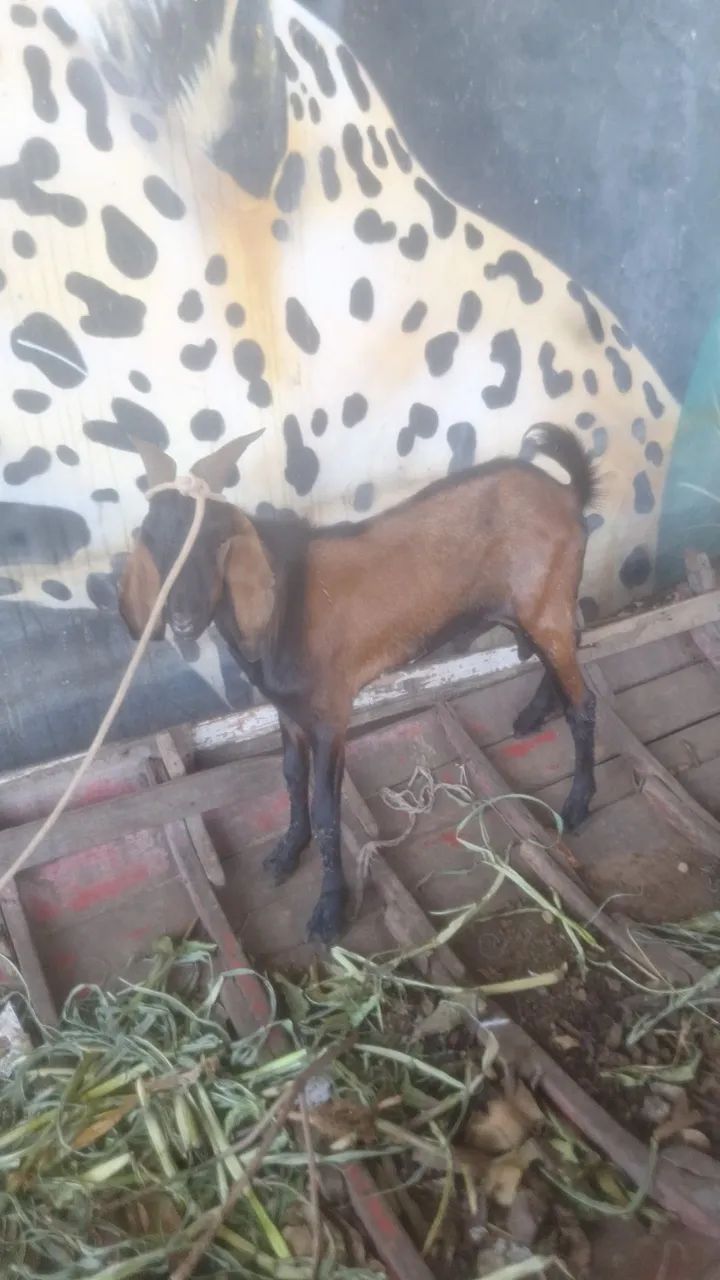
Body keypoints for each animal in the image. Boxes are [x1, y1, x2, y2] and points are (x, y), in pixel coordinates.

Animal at [119, 424, 599, 942]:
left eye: (216, 538)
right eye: (151, 536)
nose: (182, 620)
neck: (286, 602)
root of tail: (568, 493)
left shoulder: (331, 715)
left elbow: (329, 808)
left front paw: (330, 909)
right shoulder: (289, 712)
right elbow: (292, 778)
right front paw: (287, 852)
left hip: (544, 601)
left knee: (584, 701)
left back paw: (577, 803)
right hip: (529, 607)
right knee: (562, 648)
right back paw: (533, 715)